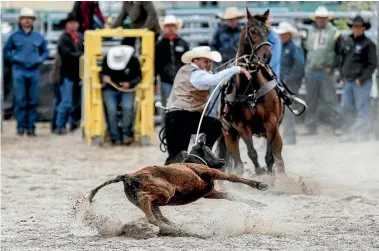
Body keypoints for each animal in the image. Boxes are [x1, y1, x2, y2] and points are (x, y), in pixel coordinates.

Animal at [217, 8, 284, 176]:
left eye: (267, 30)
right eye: (253, 31)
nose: (267, 55)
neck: (251, 89)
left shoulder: (271, 124)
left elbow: (269, 157)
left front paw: (268, 174)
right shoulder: (242, 127)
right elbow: (252, 153)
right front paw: (260, 172)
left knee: (279, 159)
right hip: (229, 135)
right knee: (238, 164)